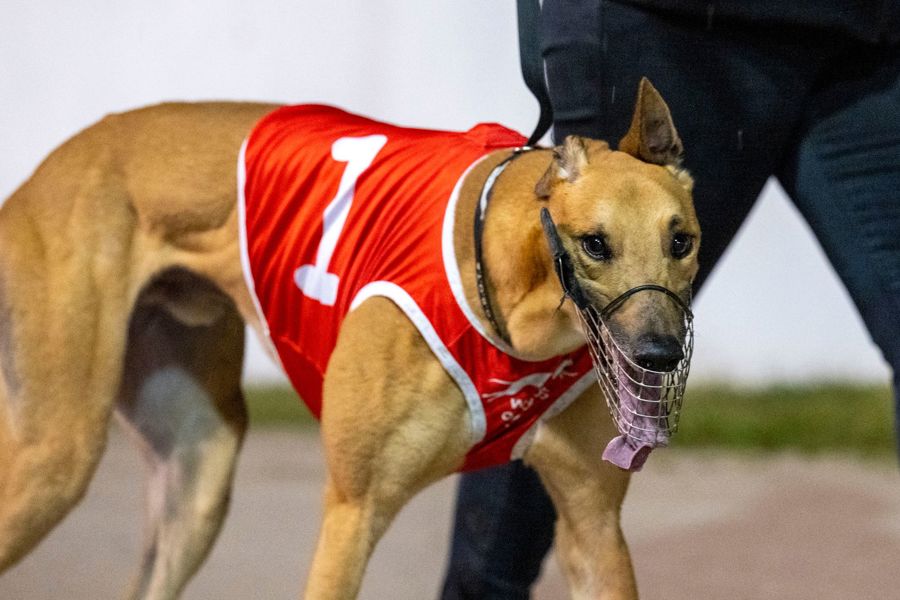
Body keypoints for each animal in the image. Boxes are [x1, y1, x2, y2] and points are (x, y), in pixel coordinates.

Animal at [0, 78, 699, 599]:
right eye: (595, 244)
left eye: (682, 241)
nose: (659, 357)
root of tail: (46, 170)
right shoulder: (353, 510)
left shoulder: (593, 525)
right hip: (54, 456)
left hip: (196, 474)